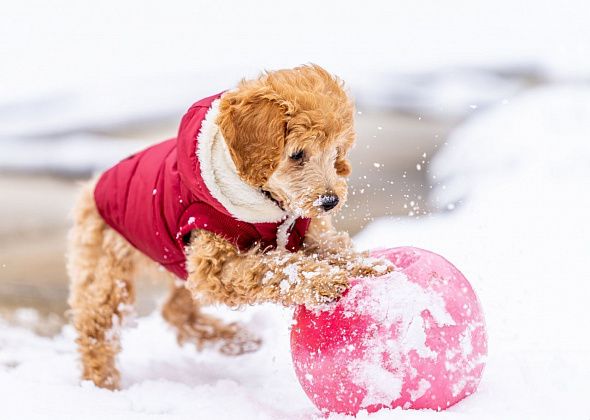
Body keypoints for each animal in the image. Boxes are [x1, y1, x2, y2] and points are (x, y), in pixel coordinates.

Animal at [67, 64, 390, 388]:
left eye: (336, 152)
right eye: (297, 154)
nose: (330, 201)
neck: (269, 203)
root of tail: (93, 186)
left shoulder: (307, 232)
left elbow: (334, 248)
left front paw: (367, 265)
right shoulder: (215, 265)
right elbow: (274, 267)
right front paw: (322, 280)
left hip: (178, 264)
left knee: (176, 310)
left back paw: (233, 339)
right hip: (108, 269)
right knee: (96, 327)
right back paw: (101, 384)